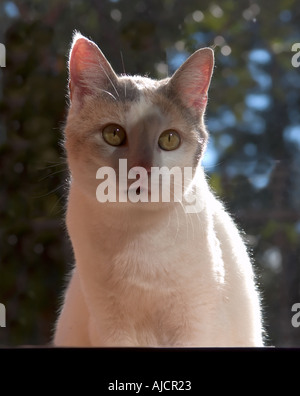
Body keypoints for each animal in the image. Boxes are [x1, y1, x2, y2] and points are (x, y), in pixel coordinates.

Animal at [52, 31, 264, 346]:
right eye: (113, 134)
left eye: (169, 139)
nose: (142, 170)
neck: (138, 235)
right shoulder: (111, 326)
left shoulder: (196, 323)